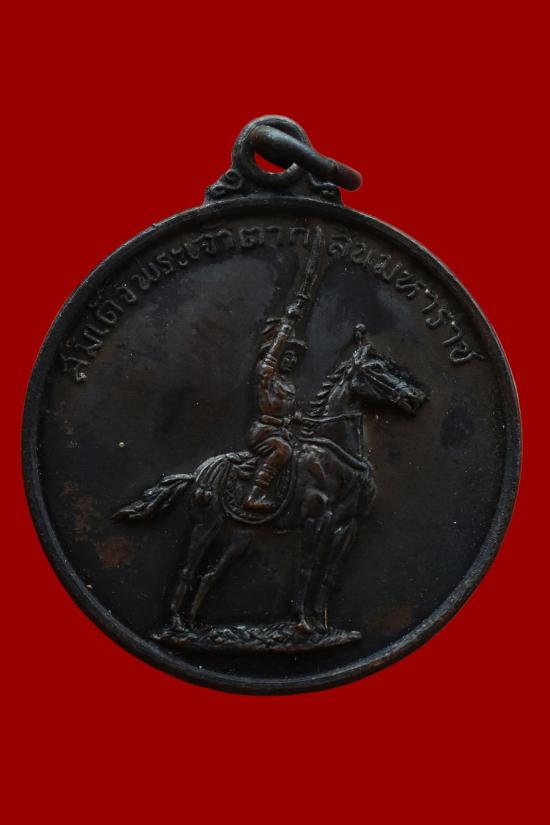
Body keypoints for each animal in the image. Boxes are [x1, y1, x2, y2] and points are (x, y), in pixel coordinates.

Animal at [114, 326, 426, 639]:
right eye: (376, 368)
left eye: (389, 363)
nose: (416, 397)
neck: (337, 454)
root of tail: (197, 473)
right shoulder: (316, 519)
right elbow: (307, 569)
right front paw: (303, 623)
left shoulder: (349, 525)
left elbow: (329, 574)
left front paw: (323, 626)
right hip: (206, 524)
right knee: (187, 569)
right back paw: (178, 626)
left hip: (241, 537)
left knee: (210, 575)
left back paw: (197, 626)